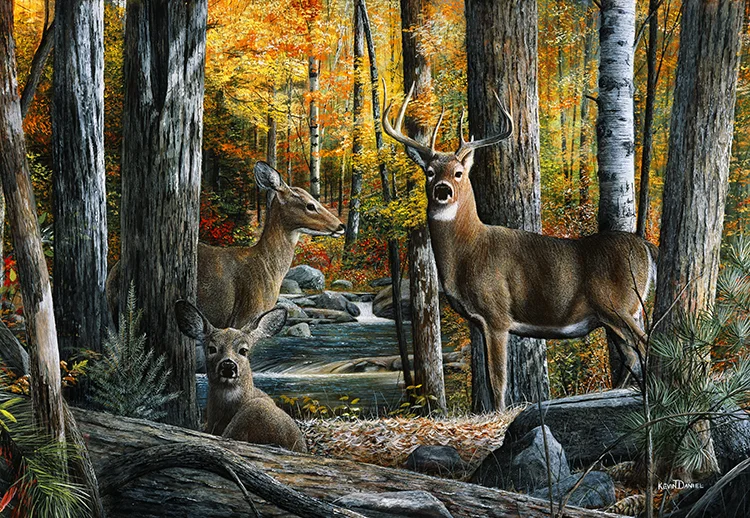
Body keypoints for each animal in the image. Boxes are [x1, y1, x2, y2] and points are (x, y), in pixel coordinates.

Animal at [382, 84, 658, 411]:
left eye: (459, 172)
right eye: (430, 172)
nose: (443, 190)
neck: (468, 251)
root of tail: (646, 247)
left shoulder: (497, 314)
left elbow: (497, 380)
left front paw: (500, 413)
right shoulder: (479, 322)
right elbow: (489, 378)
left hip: (618, 304)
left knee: (645, 345)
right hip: (615, 314)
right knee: (632, 354)